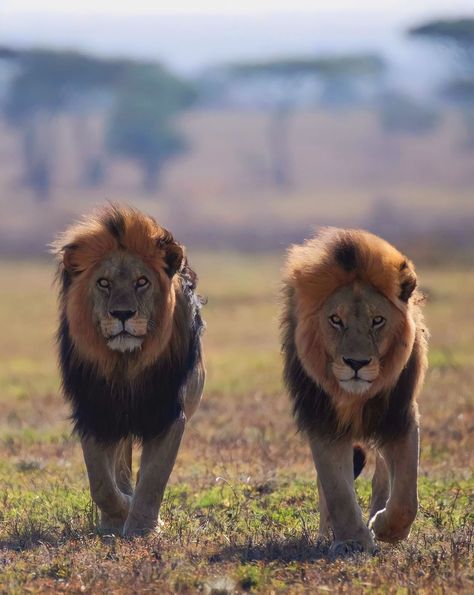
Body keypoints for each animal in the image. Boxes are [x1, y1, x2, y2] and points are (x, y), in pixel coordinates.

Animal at [53, 204, 206, 536]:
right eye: (104, 283)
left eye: (141, 282)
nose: (122, 314)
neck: (126, 366)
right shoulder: (96, 412)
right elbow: (101, 484)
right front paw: (117, 517)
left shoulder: (166, 414)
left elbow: (153, 478)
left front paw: (143, 527)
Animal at [282, 228, 430, 556]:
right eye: (336, 320)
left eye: (378, 320)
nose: (356, 363)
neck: (354, 397)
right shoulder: (323, 420)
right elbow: (336, 490)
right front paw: (352, 541)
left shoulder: (399, 417)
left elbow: (406, 496)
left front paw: (386, 529)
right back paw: (326, 534)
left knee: (383, 479)